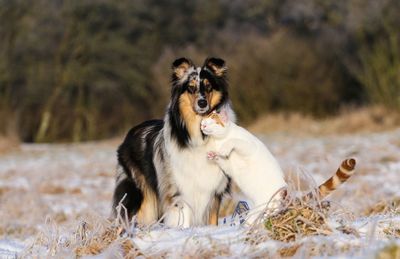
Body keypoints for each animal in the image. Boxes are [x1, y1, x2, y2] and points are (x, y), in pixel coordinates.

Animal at [111, 57, 233, 228]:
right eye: (191, 88)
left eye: (208, 86)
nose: (202, 103)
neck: (199, 134)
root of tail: (131, 132)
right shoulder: (179, 191)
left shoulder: (214, 191)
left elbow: (213, 219)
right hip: (144, 197)